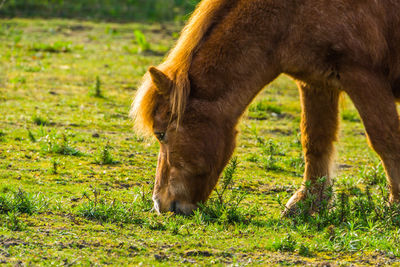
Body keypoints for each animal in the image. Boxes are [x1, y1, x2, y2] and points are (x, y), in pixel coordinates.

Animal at [131, 0, 400, 216]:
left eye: (160, 134)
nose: (160, 204)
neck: (291, 14)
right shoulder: (316, 83)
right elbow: (315, 142)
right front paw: (307, 202)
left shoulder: (362, 77)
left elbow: (385, 141)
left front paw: (395, 205)